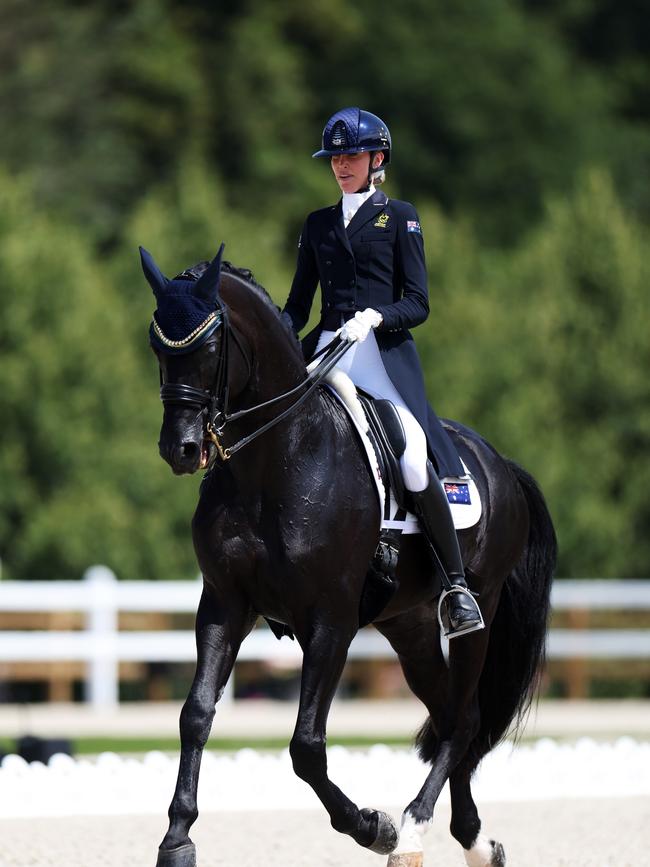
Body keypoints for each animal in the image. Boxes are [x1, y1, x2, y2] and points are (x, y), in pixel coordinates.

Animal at [140, 246, 552, 867]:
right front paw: (177, 838)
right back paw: (472, 839)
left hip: (477, 607)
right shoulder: (224, 604)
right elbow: (196, 715)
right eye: (158, 346)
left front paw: (370, 826)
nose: (181, 449)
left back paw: (411, 829)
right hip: (408, 626)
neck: (274, 460)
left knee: (461, 720)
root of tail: (498, 461)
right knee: (454, 716)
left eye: (209, 347)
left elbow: (307, 745)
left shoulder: (330, 621)